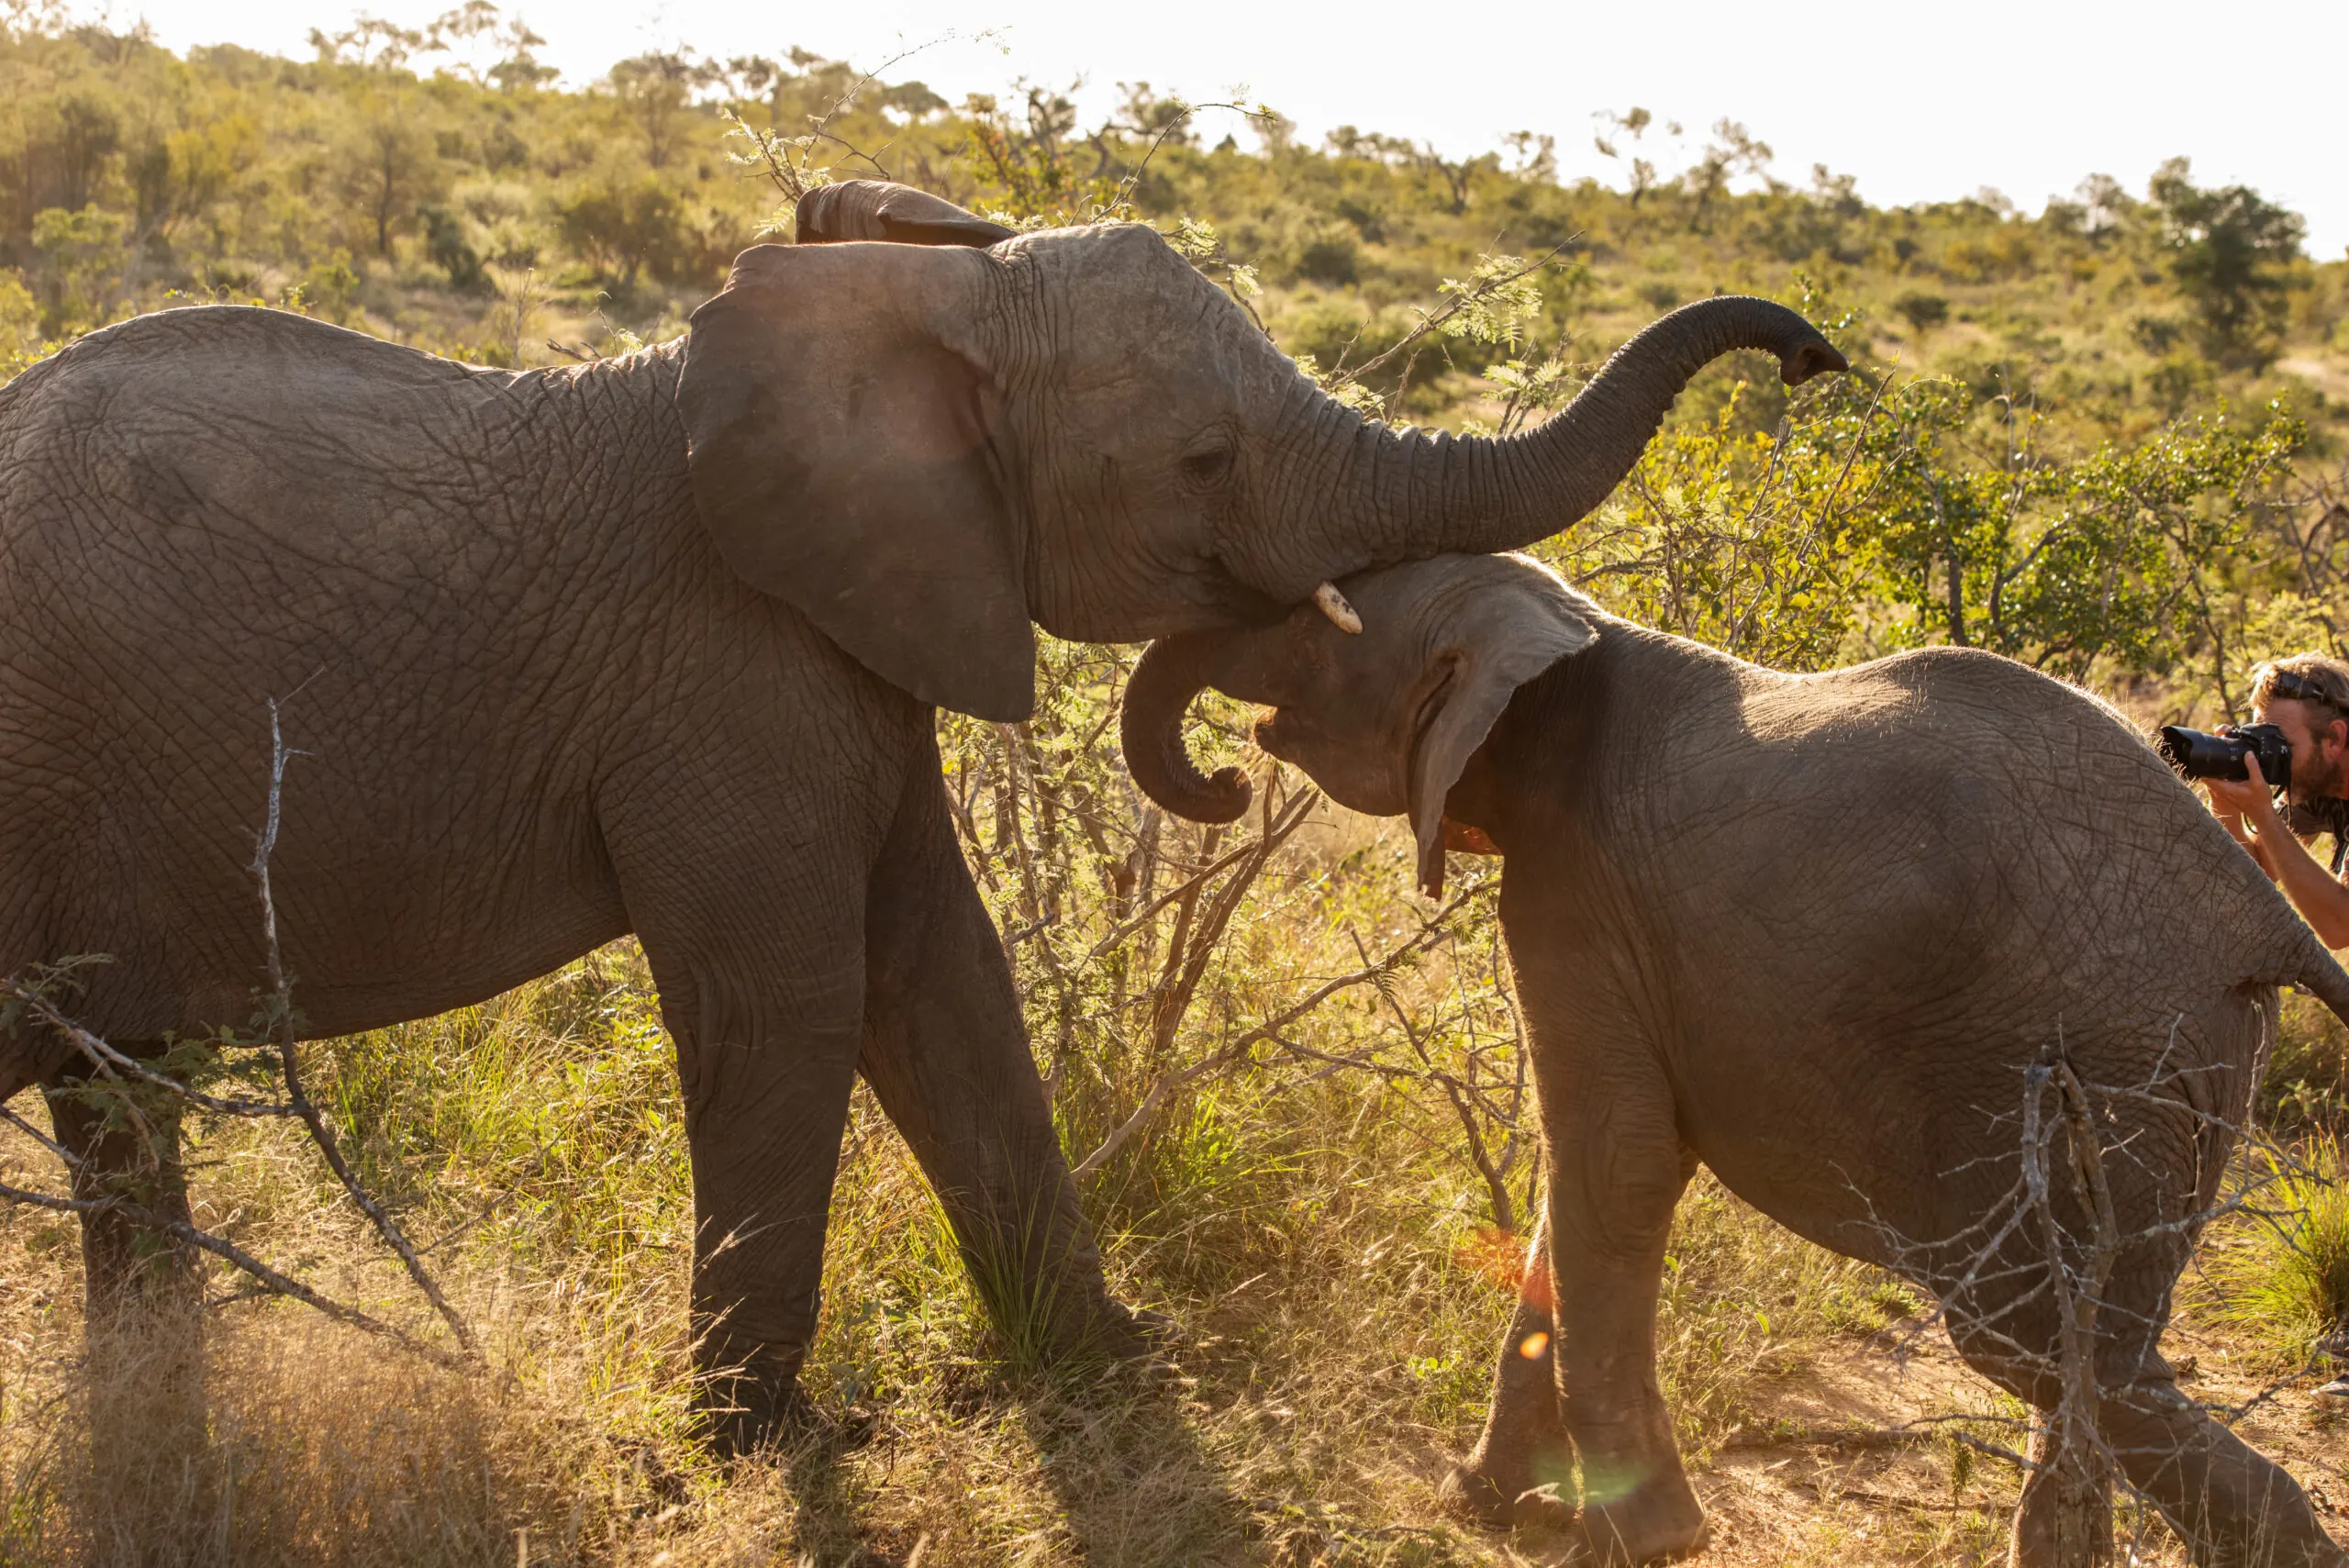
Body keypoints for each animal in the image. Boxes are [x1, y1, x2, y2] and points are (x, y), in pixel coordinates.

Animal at [0, 178, 1844, 1445]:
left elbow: (942, 976)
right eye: (1197, 462)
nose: (1813, 353)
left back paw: (156, 1409)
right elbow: (793, 998)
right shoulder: (727, 665)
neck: (914, 308)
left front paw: (1115, 1358)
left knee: (115, 1097)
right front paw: (777, 1446)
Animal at [1121, 550, 2349, 1566]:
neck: (1563, 629)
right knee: (2092, 1341)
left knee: (2020, 1331)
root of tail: (2261, 918)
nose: (1224, 782)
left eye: (1320, 626)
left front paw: (1627, 1538)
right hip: (2181, 1060)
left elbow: (1610, 1160)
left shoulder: (1577, 891)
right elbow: (1580, 1186)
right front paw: (1484, 1503)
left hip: (2102, 1045)